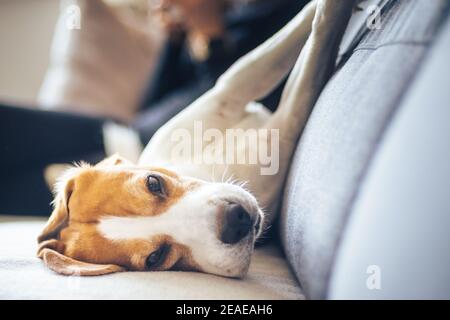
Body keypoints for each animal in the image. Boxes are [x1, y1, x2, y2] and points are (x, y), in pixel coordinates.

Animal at [37, 0, 356, 278]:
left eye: (153, 182)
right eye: (155, 258)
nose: (236, 220)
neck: (208, 168)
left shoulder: (230, 89)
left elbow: (275, 50)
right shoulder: (284, 128)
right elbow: (312, 62)